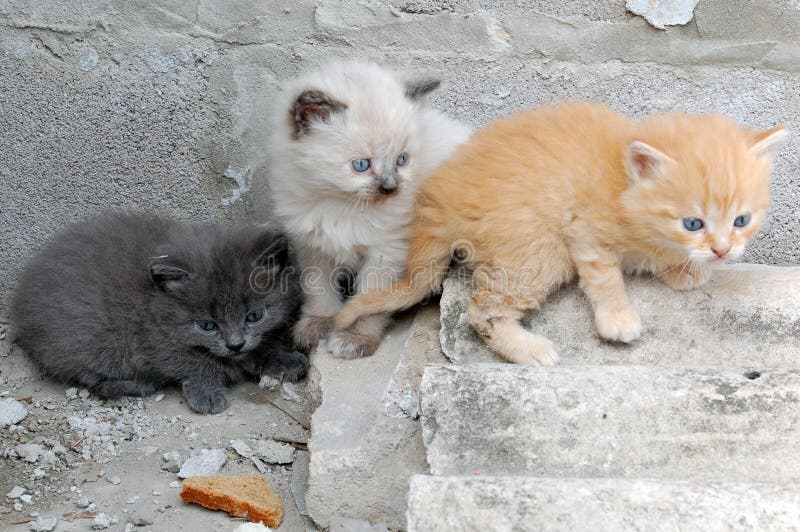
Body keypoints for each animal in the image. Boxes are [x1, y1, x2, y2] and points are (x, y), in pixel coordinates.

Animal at [9, 212, 306, 416]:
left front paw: (285, 360)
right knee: (91, 379)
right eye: (206, 325)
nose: (235, 344)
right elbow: (196, 363)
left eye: (254, 316)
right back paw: (139, 384)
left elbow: (264, 345)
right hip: (91, 341)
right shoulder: (153, 343)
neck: (157, 305)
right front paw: (207, 393)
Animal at [268, 59, 472, 358]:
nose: (390, 187)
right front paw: (319, 325)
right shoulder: (312, 247)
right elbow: (319, 291)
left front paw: (354, 338)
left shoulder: (386, 253)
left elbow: (368, 301)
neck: (341, 206)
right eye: (361, 165)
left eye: (402, 160)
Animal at [332, 101, 788, 364]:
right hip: (537, 250)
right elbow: (605, 278)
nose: (723, 250)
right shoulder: (585, 232)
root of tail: (441, 201)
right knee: (482, 310)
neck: (620, 180)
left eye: (741, 221)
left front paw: (683, 270)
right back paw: (530, 350)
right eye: (693, 223)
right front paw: (618, 319)